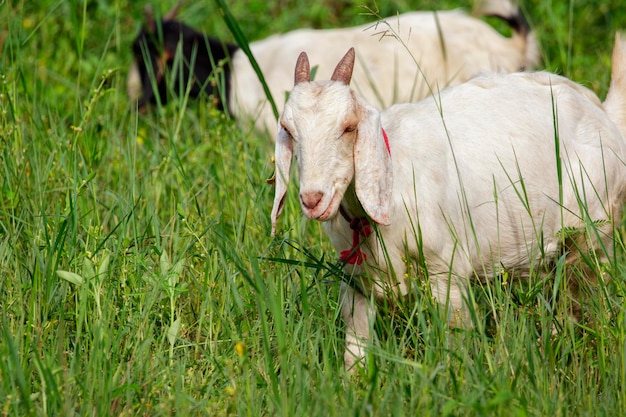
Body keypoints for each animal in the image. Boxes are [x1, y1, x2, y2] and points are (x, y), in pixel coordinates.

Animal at [270, 34, 624, 368]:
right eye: (288, 128)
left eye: (348, 127)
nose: (312, 199)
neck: (392, 176)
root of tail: (602, 112)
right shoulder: (355, 280)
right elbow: (354, 348)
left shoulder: (447, 269)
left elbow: (454, 337)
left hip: (594, 233)